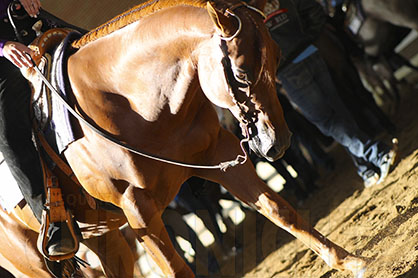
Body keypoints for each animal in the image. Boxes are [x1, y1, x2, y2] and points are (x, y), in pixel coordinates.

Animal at [18, 0, 368, 276]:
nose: (278, 141)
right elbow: (177, 268)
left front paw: (348, 261)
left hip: (103, 235)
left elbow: (279, 210)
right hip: (35, 259)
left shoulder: (220, 156)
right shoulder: (137, 210)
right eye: (241, 72)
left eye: (278, 55)